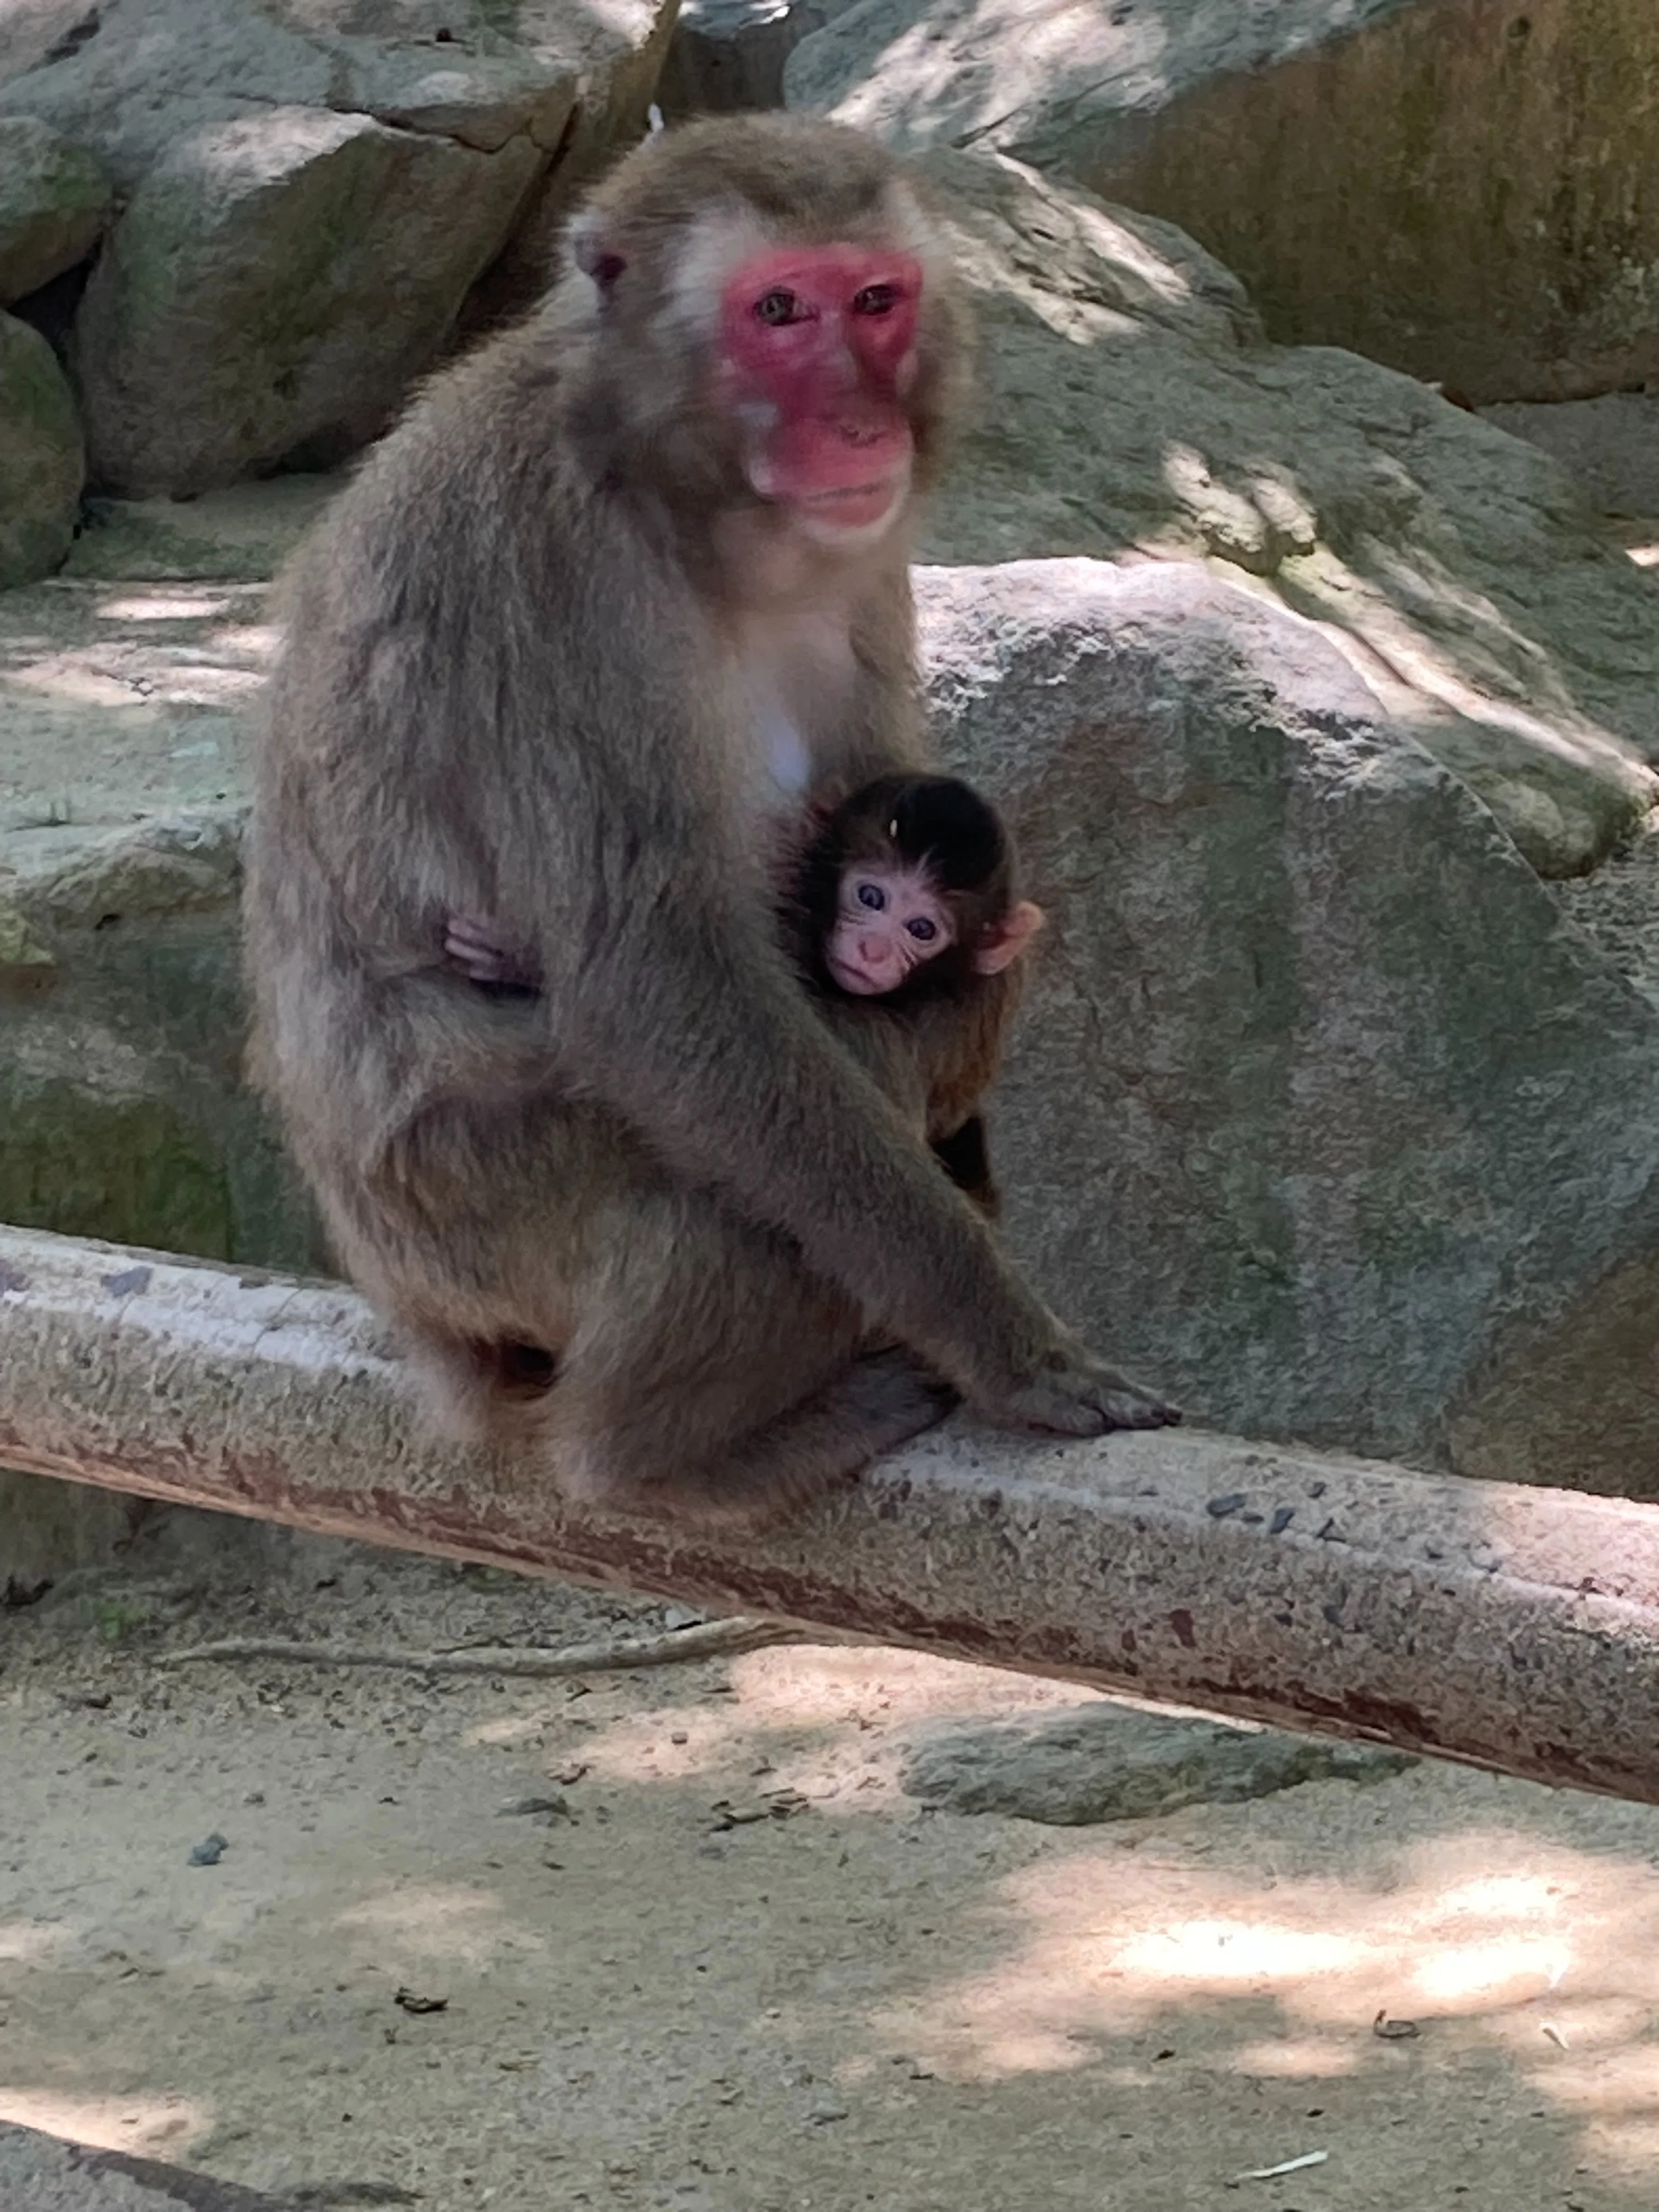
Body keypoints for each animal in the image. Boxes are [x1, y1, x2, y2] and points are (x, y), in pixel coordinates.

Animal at [244, 112, 1180, 1530]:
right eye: (777, 312)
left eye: (874, 300)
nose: (859, 422)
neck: (688, 505)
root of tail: (414, 1320)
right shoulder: (557, 571)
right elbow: (657, 974)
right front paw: (1012, 1344)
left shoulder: (863, 561)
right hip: (469, 1216)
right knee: (746, 1177)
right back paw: (666, 1459)